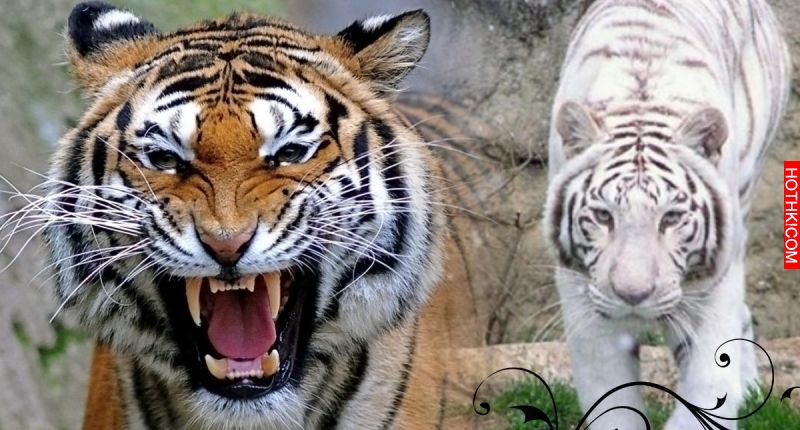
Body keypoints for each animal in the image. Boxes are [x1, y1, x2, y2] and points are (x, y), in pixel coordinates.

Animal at [543, 0, 790, 428]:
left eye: (671, 218)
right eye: (604, 216)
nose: (633, 295)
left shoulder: (715, 282)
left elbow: (708, 377)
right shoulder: (580, 289)